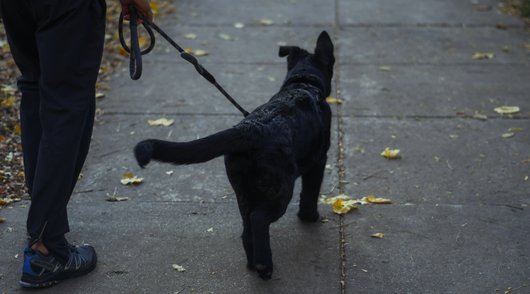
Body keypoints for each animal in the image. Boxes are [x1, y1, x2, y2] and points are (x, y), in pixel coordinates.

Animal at [134, 30, 332, 280]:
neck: (303, 83)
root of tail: (251, 129)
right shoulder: (319, 161)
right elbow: (310, 192)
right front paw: (309, 216)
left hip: (242, 189)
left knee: (247, 228)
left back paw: (254, 264)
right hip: (279, 189)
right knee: (259, 219)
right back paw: (264, 266)